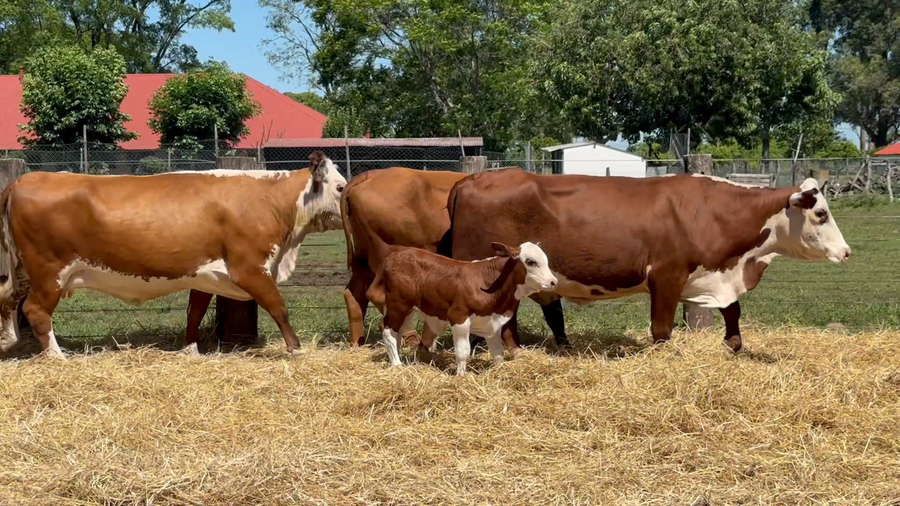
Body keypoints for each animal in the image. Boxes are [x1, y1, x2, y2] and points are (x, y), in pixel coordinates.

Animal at [0, 151, 347, 359]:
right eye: (341, 187)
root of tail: (24, 179)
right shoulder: (249, 268)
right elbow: (279, 307)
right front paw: (296, 349)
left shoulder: (205, 274)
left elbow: (195, 311)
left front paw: (190, 349)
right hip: (48, 272)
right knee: (35, 310)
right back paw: (58, 356)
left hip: (23, 270)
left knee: (8, 299)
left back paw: (9, 340)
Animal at [367, 238, 557, 376]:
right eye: (531, 262)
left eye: (546, 260)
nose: (553, 282)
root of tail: (397, 251)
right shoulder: (458, 316)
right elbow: (463, 351)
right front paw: (461, 376)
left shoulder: (492, 323)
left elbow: (497, 353)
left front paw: (500, 372)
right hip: (398, 305)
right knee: (387, 330)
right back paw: (397, 365)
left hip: (408, 310)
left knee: (397, 333)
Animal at [438, 169, 851, 353]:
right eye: (821, 214)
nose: (846, 252)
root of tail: (472, 177)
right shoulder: (666, 276)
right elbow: (661, 329)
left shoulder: (713, 275)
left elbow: (732, 312)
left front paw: (734, 346)